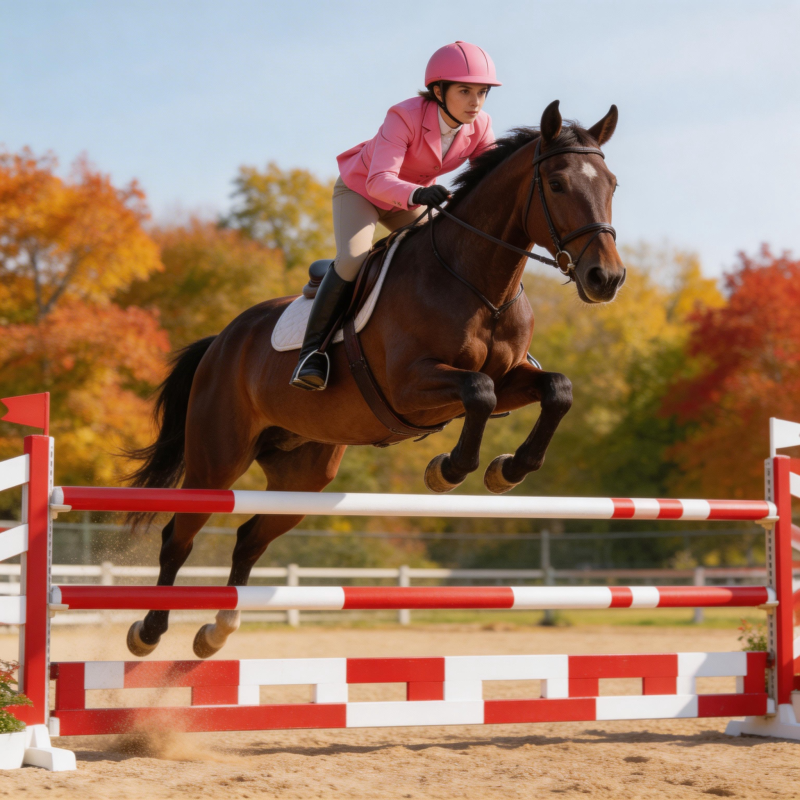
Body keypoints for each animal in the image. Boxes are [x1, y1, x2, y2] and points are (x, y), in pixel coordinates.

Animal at [125, 100, 626, 659]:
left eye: (612, 184)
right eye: (556, 184)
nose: (606, 279)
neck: (478, 280)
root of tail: (222, 341)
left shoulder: (512, 380)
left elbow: (556, 390)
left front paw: (508, 470)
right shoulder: (412, 385)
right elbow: (478, 392)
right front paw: (448, 470)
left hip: (304, 475)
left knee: (250, 537)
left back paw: (218, 630)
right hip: (218, 461)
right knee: (179, 536)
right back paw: (149, 632)